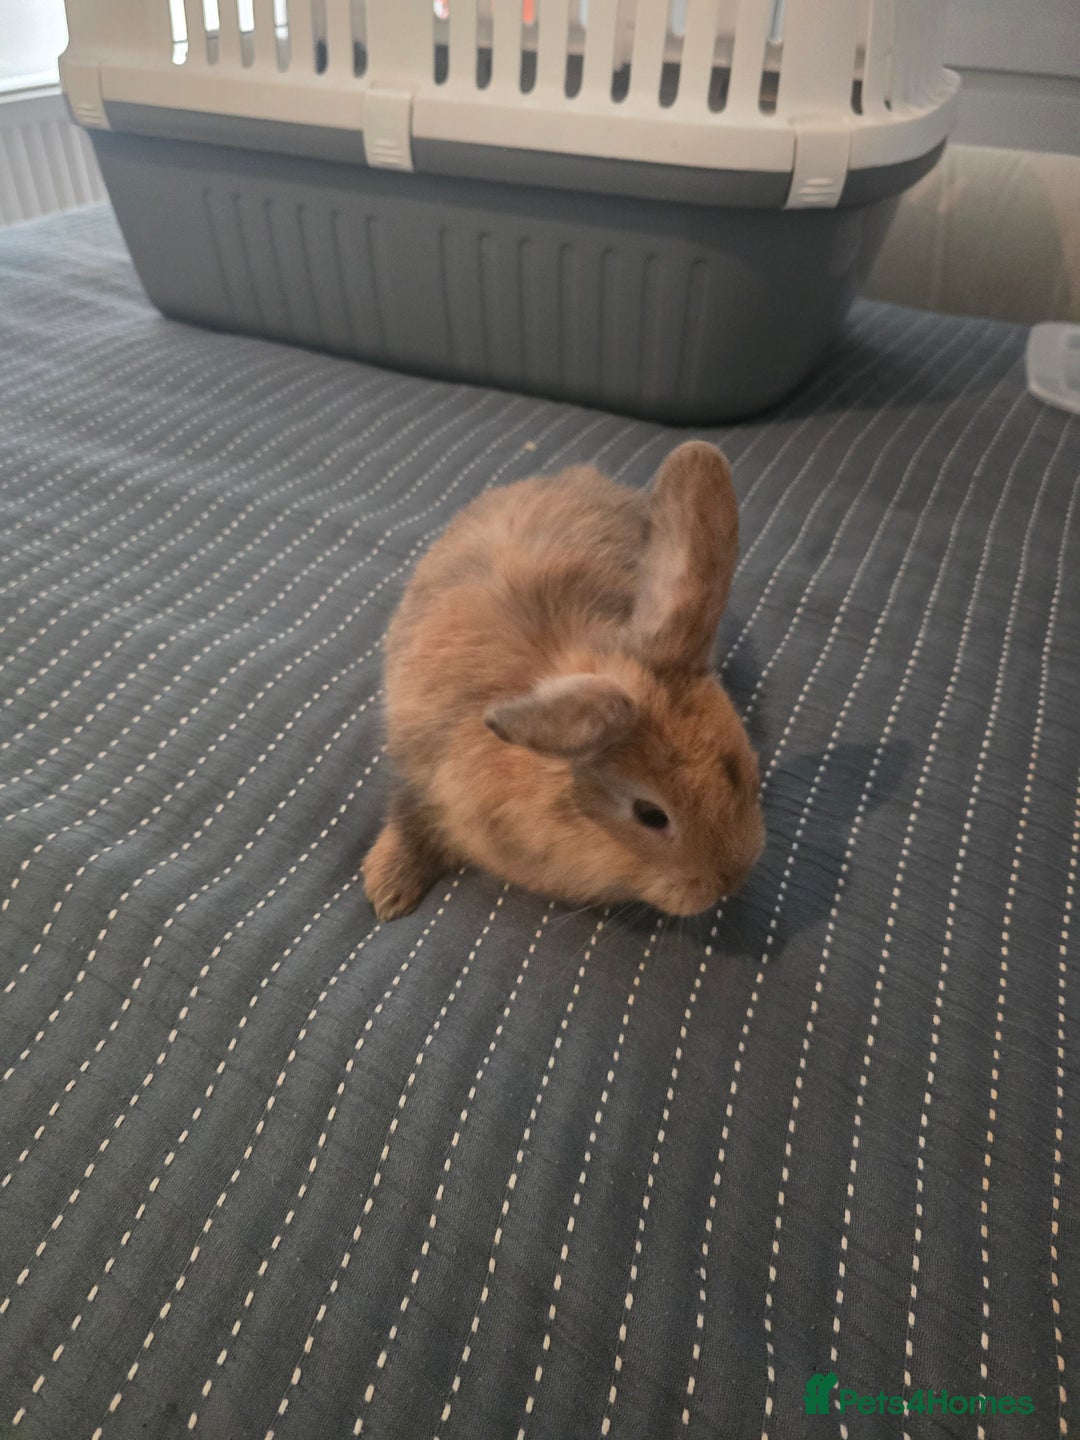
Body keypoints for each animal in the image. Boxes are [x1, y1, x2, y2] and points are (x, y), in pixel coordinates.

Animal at [362, 440, 764, 921]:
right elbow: (406, 821)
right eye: (651, 815)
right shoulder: (421, 771)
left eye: (749, 766)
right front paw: (386, 891)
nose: (730, 880)